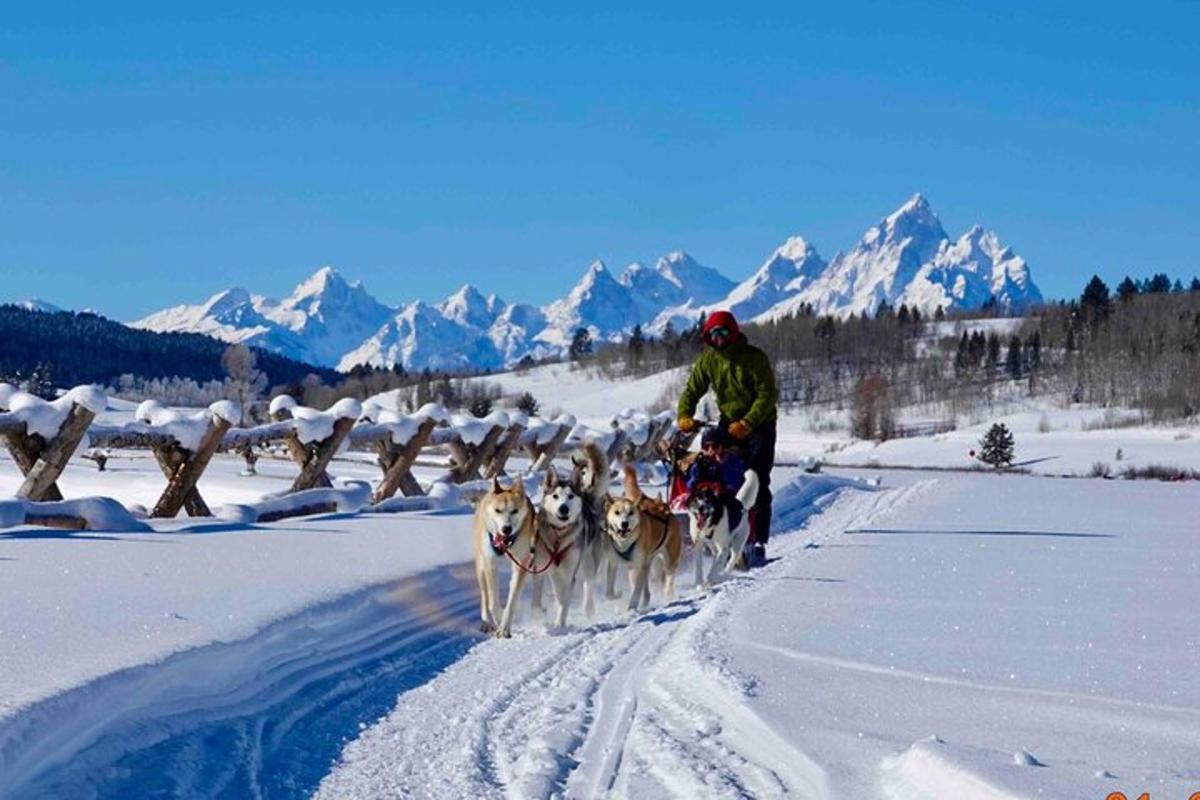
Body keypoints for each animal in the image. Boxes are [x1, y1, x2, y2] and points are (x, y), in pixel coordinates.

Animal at [472, 474, 540, 638]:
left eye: (514, 511)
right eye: (498, 510)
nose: (506, 529)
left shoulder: (521, 564)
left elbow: (512, 601)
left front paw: (504, 627)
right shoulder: (490, 564)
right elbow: (492, 603)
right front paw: (498, 619)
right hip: (481, 567)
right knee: (484, 596)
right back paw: (486, 622)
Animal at [600, 462, 686, 614]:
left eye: (631, 512)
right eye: (617, 512)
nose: (624, 523)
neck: (625, 543)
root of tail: (665, 509)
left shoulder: (637, 566)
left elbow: (635, 593)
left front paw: (631, 608)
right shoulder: (613, 563)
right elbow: (609, 593)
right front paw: (618, 595)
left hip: (669, 559)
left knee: (669, 577)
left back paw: (668, 595)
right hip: (645, 565)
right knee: (645, 586)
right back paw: (646, 600)